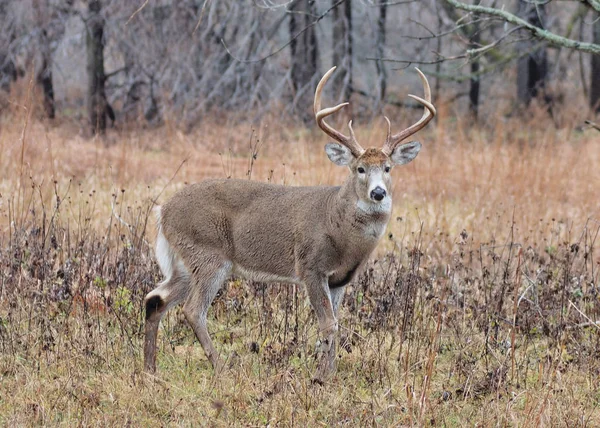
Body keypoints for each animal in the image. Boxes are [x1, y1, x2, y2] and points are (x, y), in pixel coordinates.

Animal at [145, 67, 436, 382]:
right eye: (359, 169)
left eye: (388, 168)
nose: (378, 192)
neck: (339, 229)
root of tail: (163, 211)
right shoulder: (310, 266)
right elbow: (328, 323)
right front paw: (320, 377)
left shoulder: (340, 279)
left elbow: (336, 321)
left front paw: (330, 373)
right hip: (208, 254)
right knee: (192, 309)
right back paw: (220, 368)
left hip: (185, 263)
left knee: (155, 298)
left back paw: (150, 368)